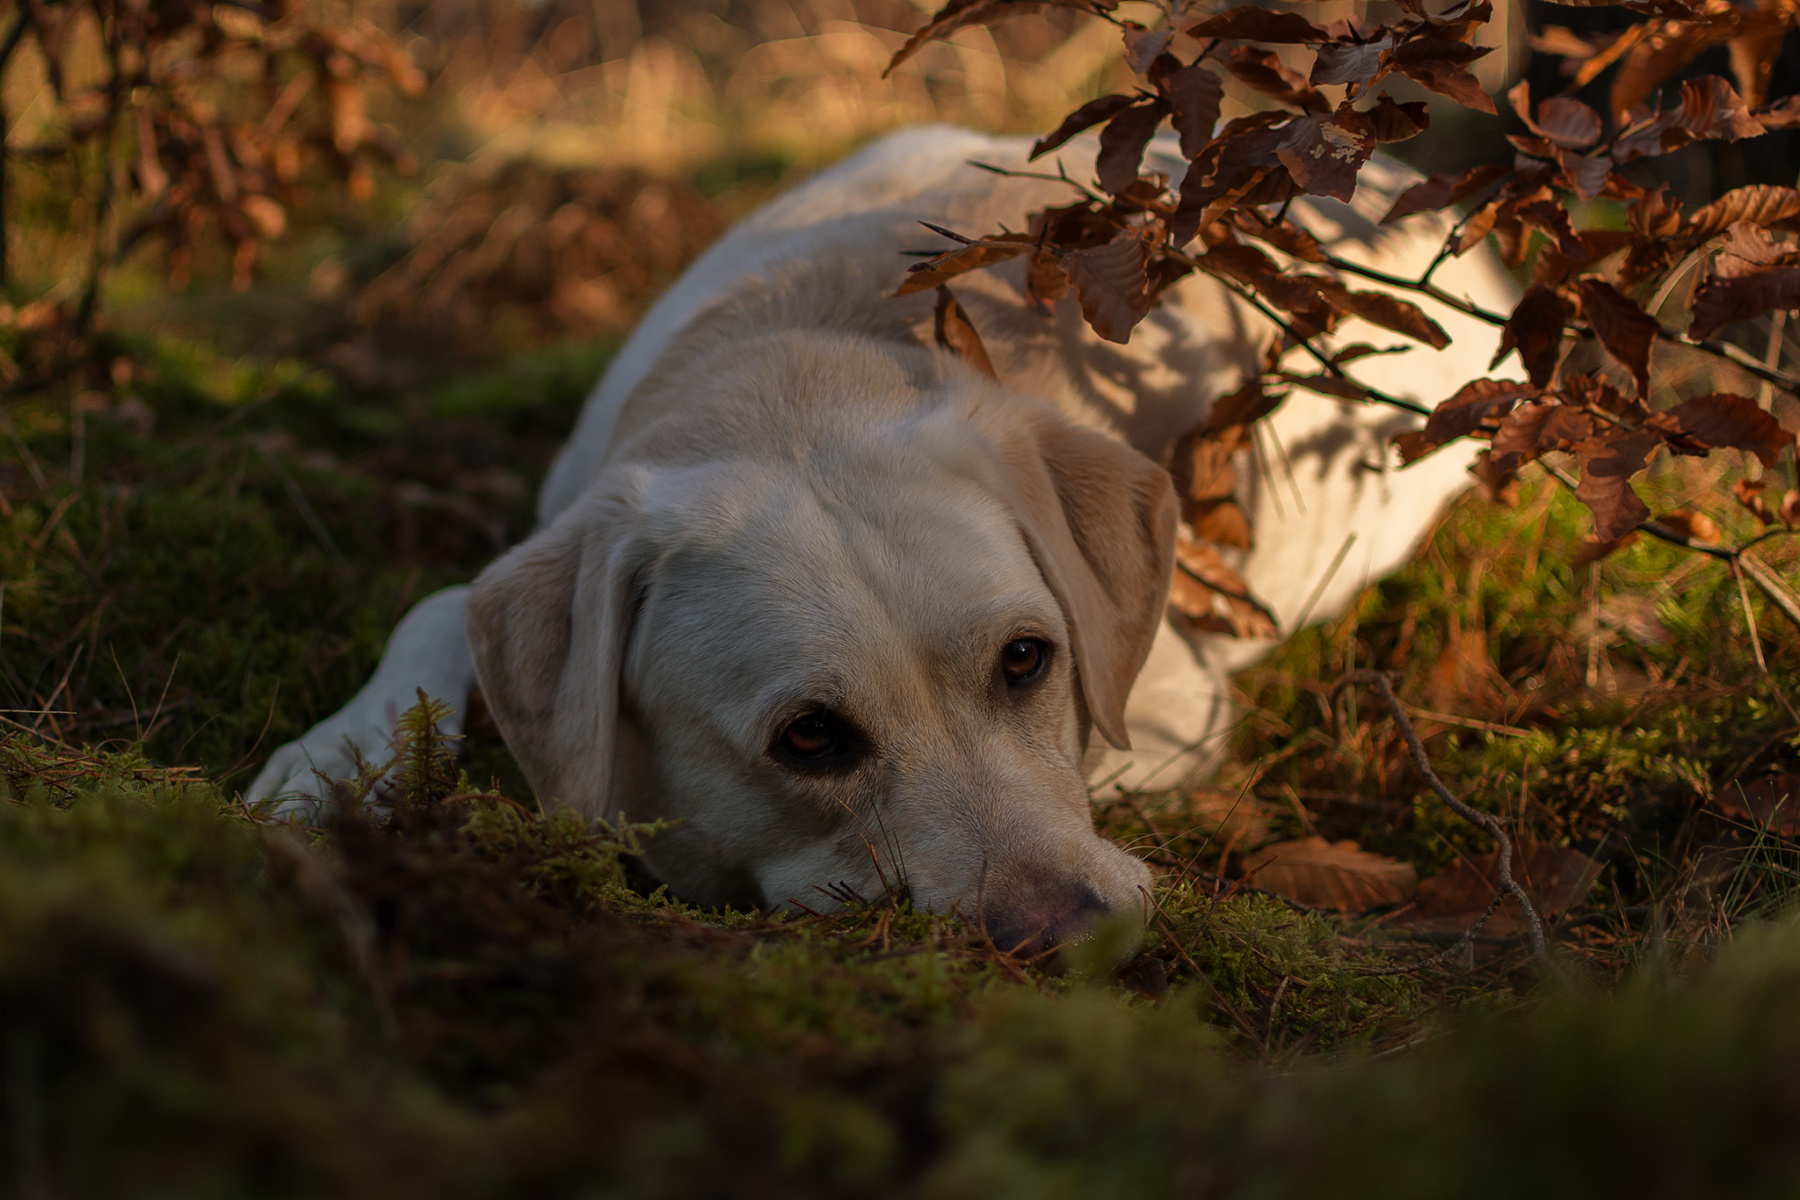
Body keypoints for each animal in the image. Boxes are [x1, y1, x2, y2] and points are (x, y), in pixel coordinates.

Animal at [250, 127, 1514, 951]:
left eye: (1028, 661)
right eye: (809, 738)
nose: (1075, 940)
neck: (799, 366)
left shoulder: (1174, 703)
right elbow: (439, 606)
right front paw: (329, 766)